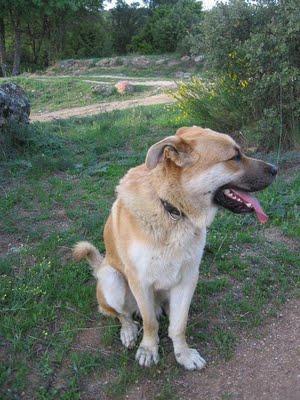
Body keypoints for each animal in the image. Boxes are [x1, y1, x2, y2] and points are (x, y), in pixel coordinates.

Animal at [74, 126, 278, 370]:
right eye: (234, 157)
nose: (276, 169)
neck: (171, 209)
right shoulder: (139, 281)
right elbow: (150, 323)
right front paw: (148, 349)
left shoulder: (188, 278)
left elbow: (179, 325)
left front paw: (183, 354)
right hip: (111, 279)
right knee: (123, 314)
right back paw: (129, 330)